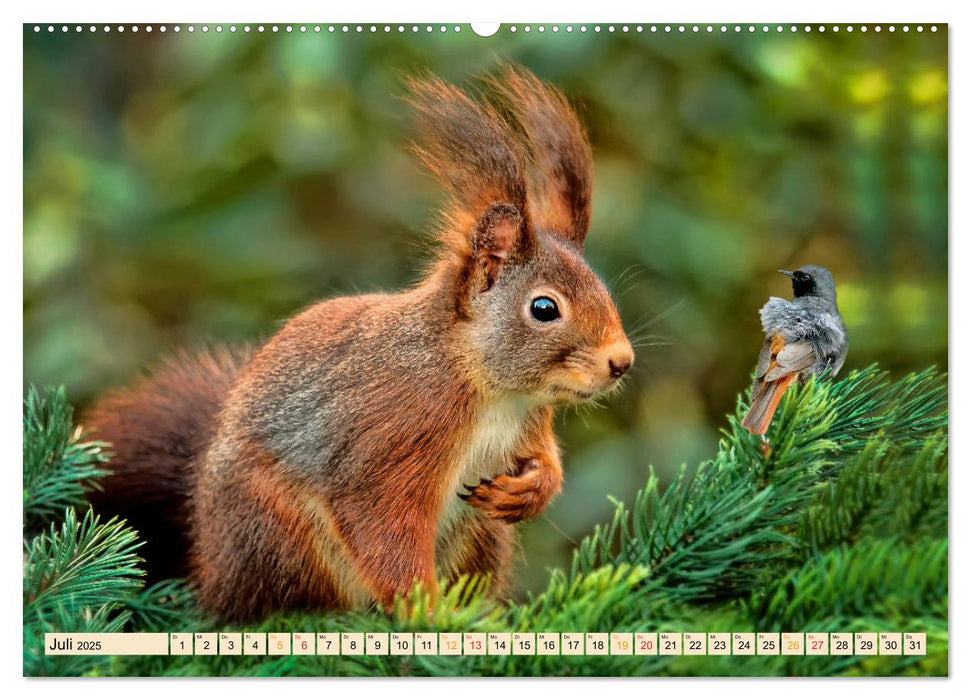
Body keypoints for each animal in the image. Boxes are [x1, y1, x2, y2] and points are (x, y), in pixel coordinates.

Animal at [85, 67, 636, 624]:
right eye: (544, 308)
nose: (622, 362)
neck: (491, 389)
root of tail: (211, 564)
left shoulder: (529, 424)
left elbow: (546, 461)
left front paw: (531, 488)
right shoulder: (396, 433)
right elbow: (381, 524)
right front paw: (430, 614)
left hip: (480, 536)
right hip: (280, 533)